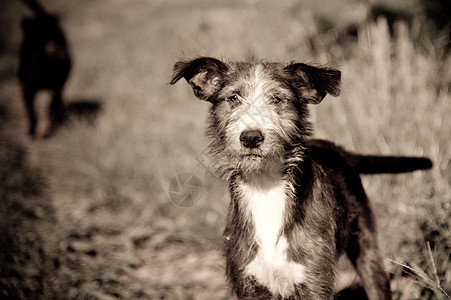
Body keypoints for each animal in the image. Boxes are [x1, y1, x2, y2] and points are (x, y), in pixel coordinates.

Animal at [18, 0, 70, 138]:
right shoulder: (27, 89)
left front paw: (45, 128)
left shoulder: (57, 86)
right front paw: (32, 131)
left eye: (55, 38)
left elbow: (51, 105)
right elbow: (32, 111)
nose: (51, 48)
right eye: (36, 40)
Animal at [170, 57, 434, 298]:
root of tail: (338, 149)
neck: (265, 185)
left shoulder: (313, 281)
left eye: (277, 99)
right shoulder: (249, 282)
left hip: (367, 253)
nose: (251, 137)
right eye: (233, 98)